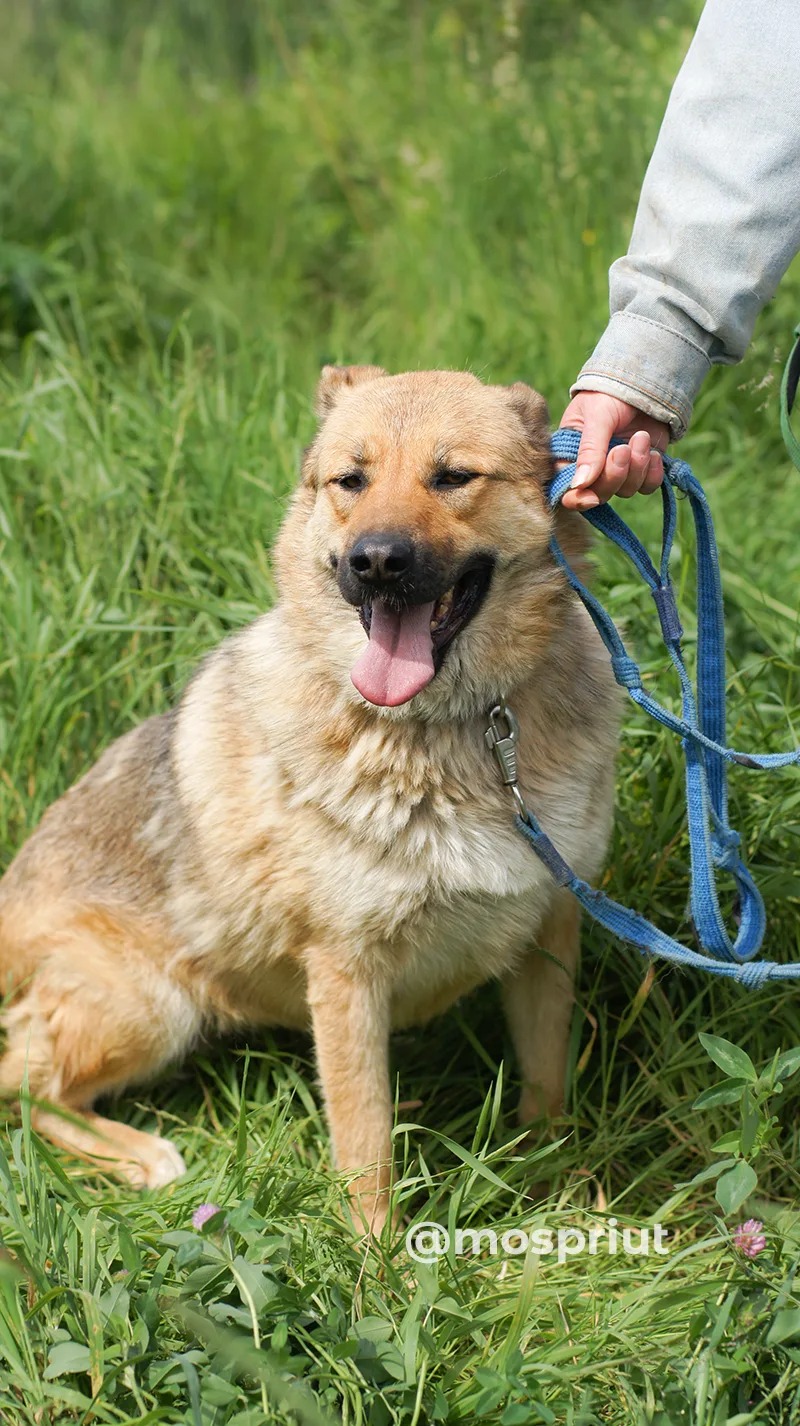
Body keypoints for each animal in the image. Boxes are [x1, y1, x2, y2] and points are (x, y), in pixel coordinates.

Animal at [0, 365, 618, 1226]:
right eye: (350, 481)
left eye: (453, 476)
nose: (377, 562)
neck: (449, 730)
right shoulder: (347, 974)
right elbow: (366, 1145)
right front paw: (376, 1256)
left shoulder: (549, 934)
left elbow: (547, 1085)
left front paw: (556, 1192)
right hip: (152, 1006)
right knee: (22, 1083)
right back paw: (141, 1156)